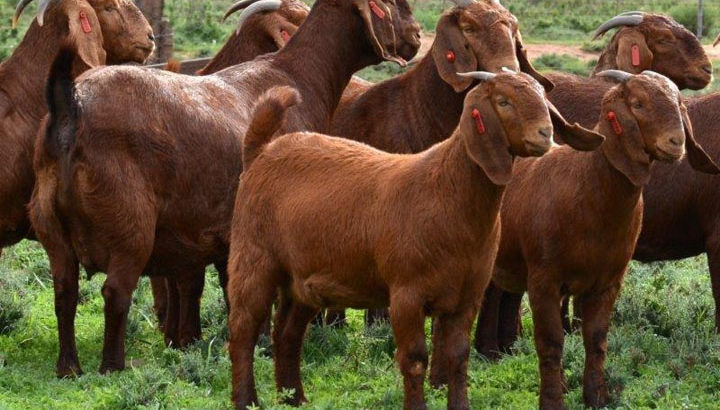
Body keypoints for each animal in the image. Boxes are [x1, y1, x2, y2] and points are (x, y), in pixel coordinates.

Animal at [29, 0, 421, 378]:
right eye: (388, 3)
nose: (416, 35)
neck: (298, 78)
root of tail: (72, 104)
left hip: (51, 227)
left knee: (64, 291)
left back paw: (69, 368)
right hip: (130, 228)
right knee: (115, 292)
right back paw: (112, 366)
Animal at [227, 72, 603, 409]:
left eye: (543, 97)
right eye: (503, 101)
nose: (545, 134)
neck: (446, 192)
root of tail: (262, 151)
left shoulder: (466, 297)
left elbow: (457, 357)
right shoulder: (406, 294)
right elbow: (414, 358)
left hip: (303, 280)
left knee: (286, 333)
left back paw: (293, 398)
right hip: (254, 259)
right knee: (243, 329)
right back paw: (247, 400)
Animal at [488, 70, 719, 409]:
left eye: (679, 105)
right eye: (638, 104)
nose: (676, 142)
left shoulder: (605, 280)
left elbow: (596, 339)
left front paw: (596, 396)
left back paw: (503, 348)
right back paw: (490, 352)